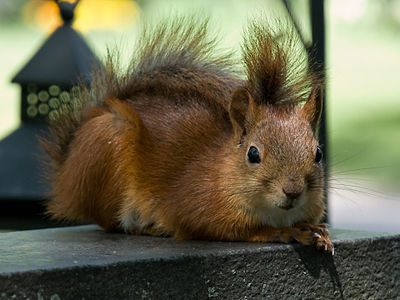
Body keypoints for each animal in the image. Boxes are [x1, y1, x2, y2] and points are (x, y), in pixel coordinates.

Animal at [40, 17, 334, 253]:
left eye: (318, 153)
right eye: (253, 154)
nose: (293, 191)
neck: (222, 169)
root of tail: (67, 173)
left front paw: (320, 231)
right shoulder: (197, 206)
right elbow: (236, 230)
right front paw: (286, 232)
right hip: (107, 152)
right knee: (113, 223)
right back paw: (152, 227)